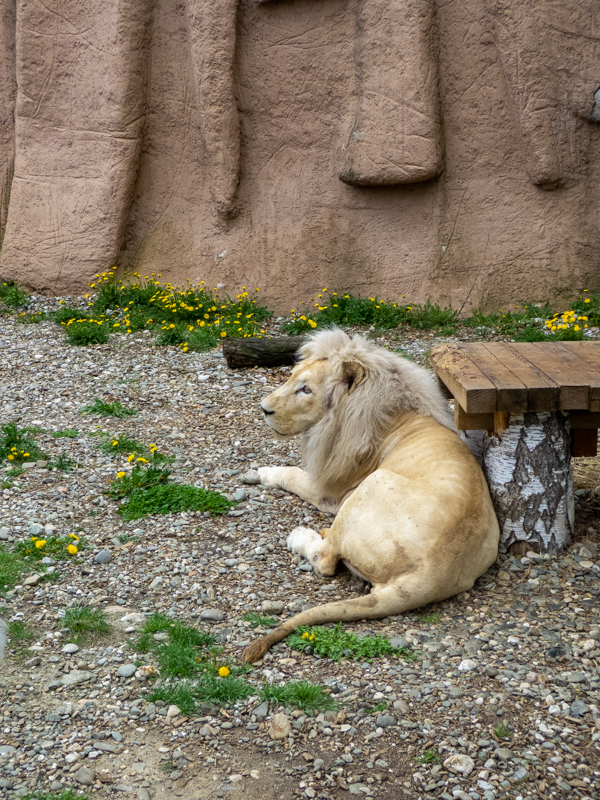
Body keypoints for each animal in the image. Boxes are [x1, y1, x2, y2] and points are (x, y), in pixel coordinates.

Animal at [243, 328, 499, 663]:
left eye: (305, 389)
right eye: (292, 379)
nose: (264, 408)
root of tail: (429, 576)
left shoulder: (328, 490)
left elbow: (291, 473)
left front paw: (259, 472)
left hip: (371, 484)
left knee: (326, 560)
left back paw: (300, 535)